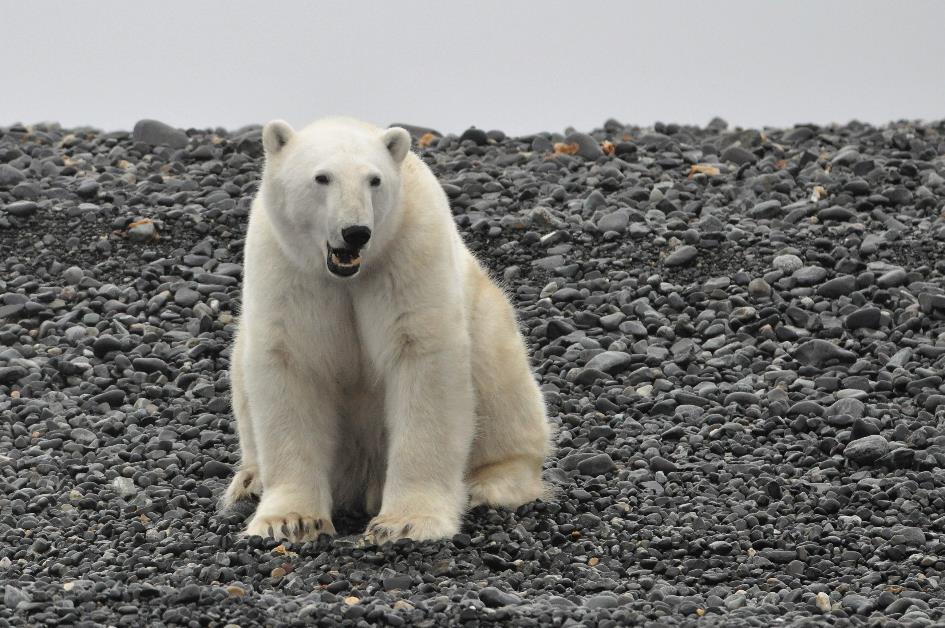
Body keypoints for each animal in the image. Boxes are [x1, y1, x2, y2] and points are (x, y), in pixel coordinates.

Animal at [223, 116, 552, 544]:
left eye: (374, 180)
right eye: (321, 177)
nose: (356, 231)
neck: (347, 274)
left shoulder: (409, 252)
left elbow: (422, 361)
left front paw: (405, 522)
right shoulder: (285, 268)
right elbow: (290, 364)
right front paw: (289, 520)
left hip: (491, 327)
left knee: (504, 389)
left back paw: (488, 484)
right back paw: (249, 483)